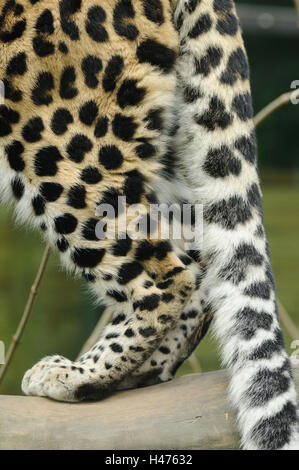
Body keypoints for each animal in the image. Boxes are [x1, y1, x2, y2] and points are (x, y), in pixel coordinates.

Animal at [0, 0, 298, 450]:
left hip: (56, 138)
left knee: (167, 273)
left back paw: (80, 375)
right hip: (167, 143)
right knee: (198, 259)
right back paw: (142, 372)